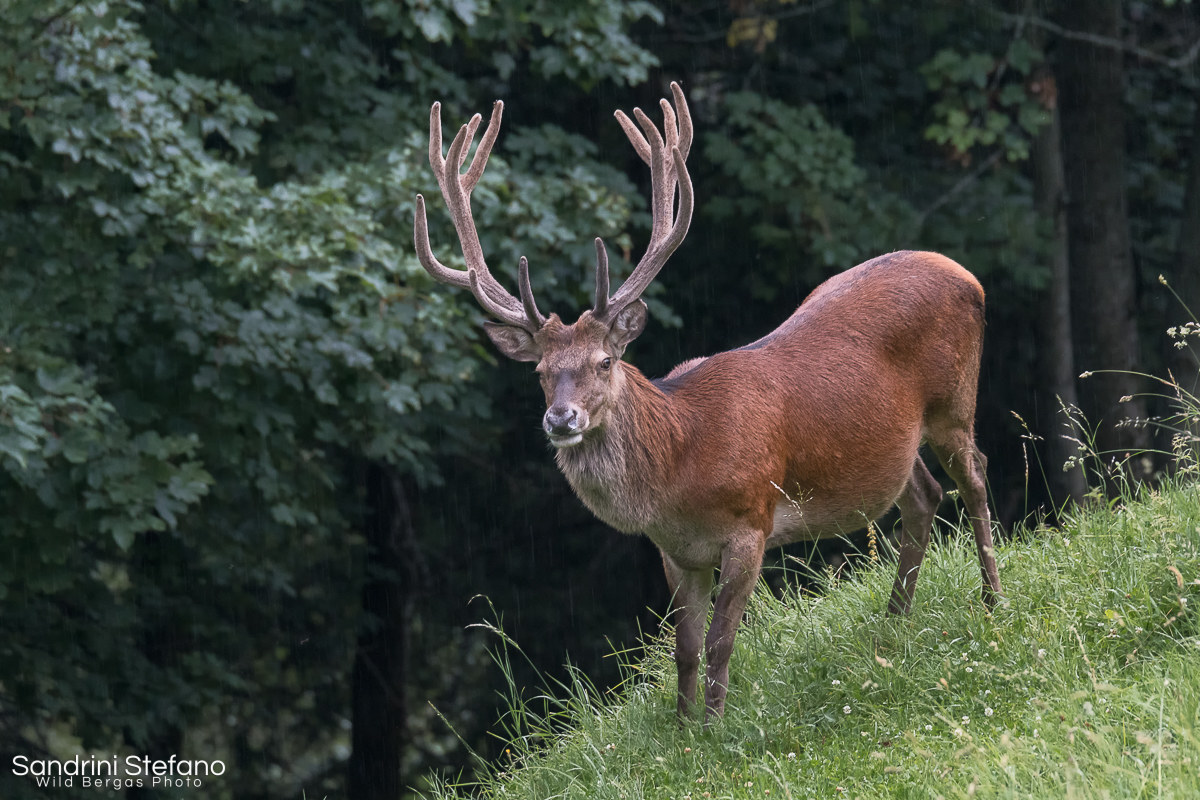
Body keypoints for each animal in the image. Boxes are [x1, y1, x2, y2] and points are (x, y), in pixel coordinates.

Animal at [413, 82, 1003, 721]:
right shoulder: (675, 552)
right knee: (922, 495)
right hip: (896, 438)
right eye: (541, 373)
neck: (682, 464)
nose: (561, 417)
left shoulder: (752, 522)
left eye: (604, 361)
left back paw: (994, 601)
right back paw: (893, 623)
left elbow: (721, 641)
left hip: (954, 401)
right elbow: (685, 647)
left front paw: (717, 725)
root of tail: (968, 274)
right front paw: (683, 727)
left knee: (974, 475)